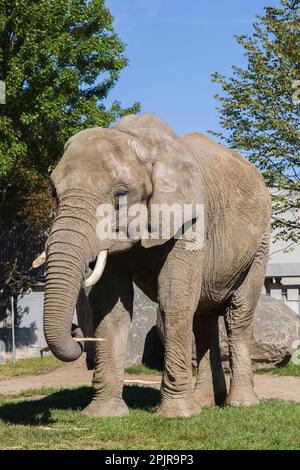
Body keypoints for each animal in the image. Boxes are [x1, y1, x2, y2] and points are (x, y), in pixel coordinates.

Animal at [43, 113, 270, 418]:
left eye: (121, 194)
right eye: (54, 193)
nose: (76, 334)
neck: (140, 141)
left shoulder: (192, 218)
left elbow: (174, 297)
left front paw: (178, 415)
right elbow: (110, 305)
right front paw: (104, 414)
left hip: (260, 245)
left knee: (238, 315)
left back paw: (241, 403)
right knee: (203, 318)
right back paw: (204, 402)